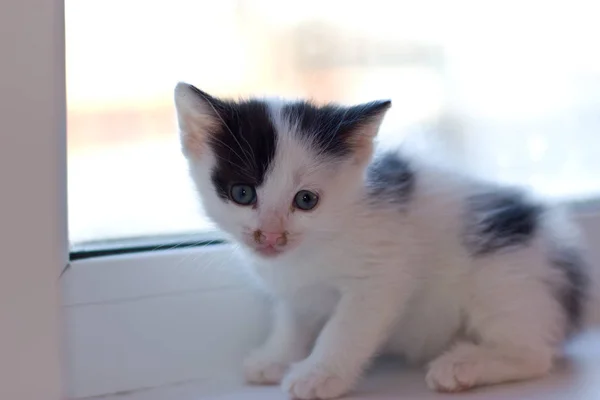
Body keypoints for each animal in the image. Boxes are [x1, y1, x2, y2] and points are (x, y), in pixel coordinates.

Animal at [172, 83, 584, 398]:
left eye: (306, 200)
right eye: (242, 193)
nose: (271, 235)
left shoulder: (382, 275)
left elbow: (346, 328)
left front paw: (319, 375)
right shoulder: (295, 286)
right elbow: (293, 318)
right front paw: (277, 356)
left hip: (505, 276)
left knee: (533, 353)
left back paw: (463, 365)